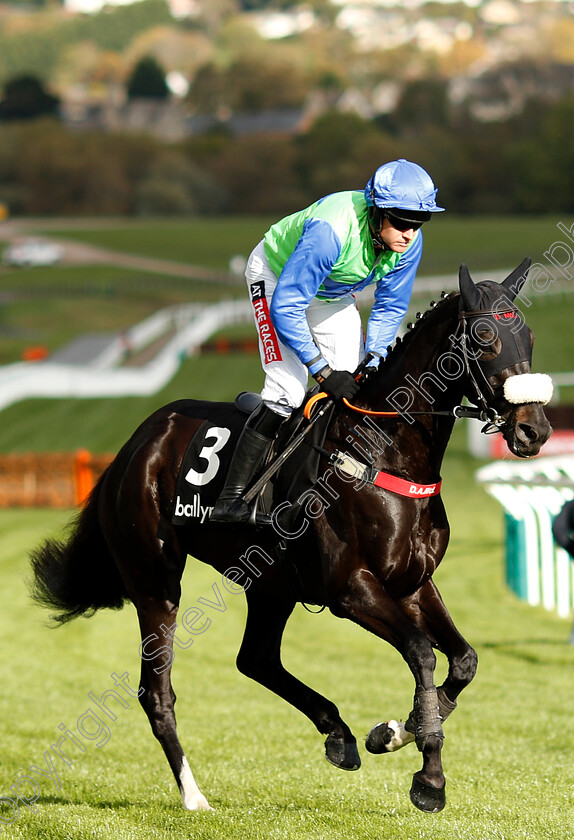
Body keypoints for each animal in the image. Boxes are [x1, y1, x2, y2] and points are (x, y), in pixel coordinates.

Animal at [30, 260, 552, 812]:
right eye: (485, 338)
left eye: (529, 336)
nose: (533, 430)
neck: (382, 451)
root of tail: (133, 446)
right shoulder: (351, 589)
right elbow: (421, 652)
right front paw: (428, 778)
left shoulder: (412, 582)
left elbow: (464, 660)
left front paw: (392, 731)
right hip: (155, 580)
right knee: (158, 691)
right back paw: (194, 795)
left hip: (271, 585)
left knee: (255, 659)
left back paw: (338, 733)